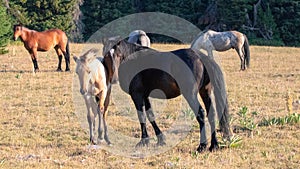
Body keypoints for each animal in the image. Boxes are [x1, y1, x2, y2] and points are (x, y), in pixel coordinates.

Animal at [102, 39, 231, 152]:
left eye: (118, 55)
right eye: (106, 56)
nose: (113, 78)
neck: (133, 59)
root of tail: (200, 57)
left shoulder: (137, 95)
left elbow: (141, 116)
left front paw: (144, 141)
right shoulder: (145, 95)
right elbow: (150, 115)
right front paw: (161, 140)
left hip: (190, 94)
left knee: (201, 114)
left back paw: (202, 146)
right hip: (205, 91)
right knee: (211, 114)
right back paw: (214, 145)